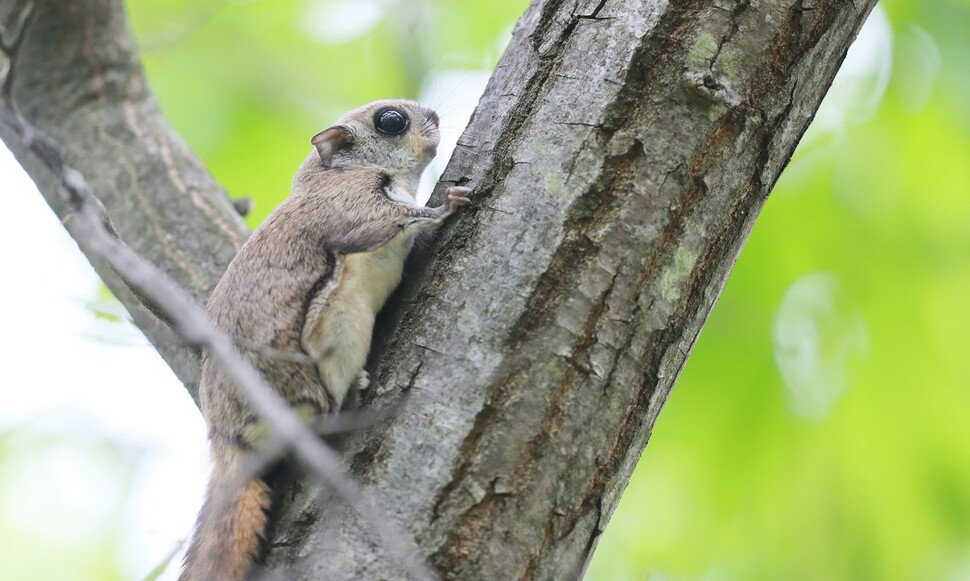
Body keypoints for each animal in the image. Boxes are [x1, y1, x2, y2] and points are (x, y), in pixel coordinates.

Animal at [181, 99, 468, 580]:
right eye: (391, 121)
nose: (436, 116)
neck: (338, 172)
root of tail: (228, 443)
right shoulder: (351, 207)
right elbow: (390, 220)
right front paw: (447, 203)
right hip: (330, 331)